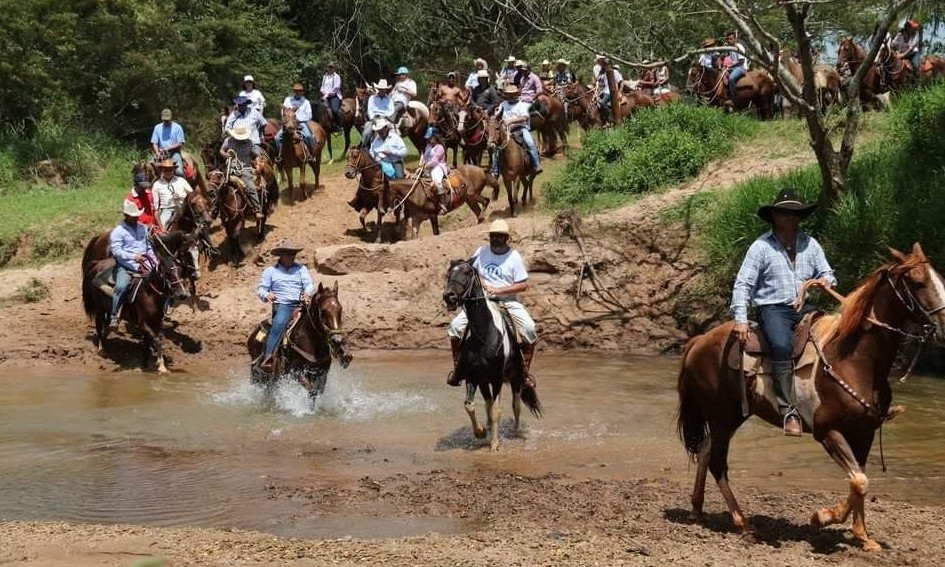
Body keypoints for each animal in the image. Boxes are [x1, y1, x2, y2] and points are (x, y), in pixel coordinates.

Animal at [81, 235, 192, 372]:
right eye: (167, 273)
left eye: (180, 271)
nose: (183, 294)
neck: (150, 293)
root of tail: (97, 264)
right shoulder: (142, 323)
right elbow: (156, 339)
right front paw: (161, 366)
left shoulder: (156, 322)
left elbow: (152, 341)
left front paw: (146, 363)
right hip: (100, 309)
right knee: (98, 326)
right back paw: (101, 350)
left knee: (106, 327)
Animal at [440, 260, 540, 450]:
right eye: (449, 273)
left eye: (467, 273)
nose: (449, 296)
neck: (484, 332)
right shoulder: (473, 376)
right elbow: (470, 405)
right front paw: (480, 432)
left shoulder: (496, 378)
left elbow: (497, 410)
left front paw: (494, 444)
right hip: (483, 381)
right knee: (487, 403)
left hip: (516, 378)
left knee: (516, 405)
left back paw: (516, 432)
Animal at [676, 245, 944, 556]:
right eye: (917, 282)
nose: (944, 326)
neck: (852, 359)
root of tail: (699, 340)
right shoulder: (827, 432)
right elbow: (859, 481)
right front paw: (822, 517)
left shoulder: (864, 433)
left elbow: (859, 480)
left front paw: (863, 536)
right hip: (720, 414)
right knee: (718, 461)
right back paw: (743, 524)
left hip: (732, 416)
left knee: (706, 448)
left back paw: (698, 509)